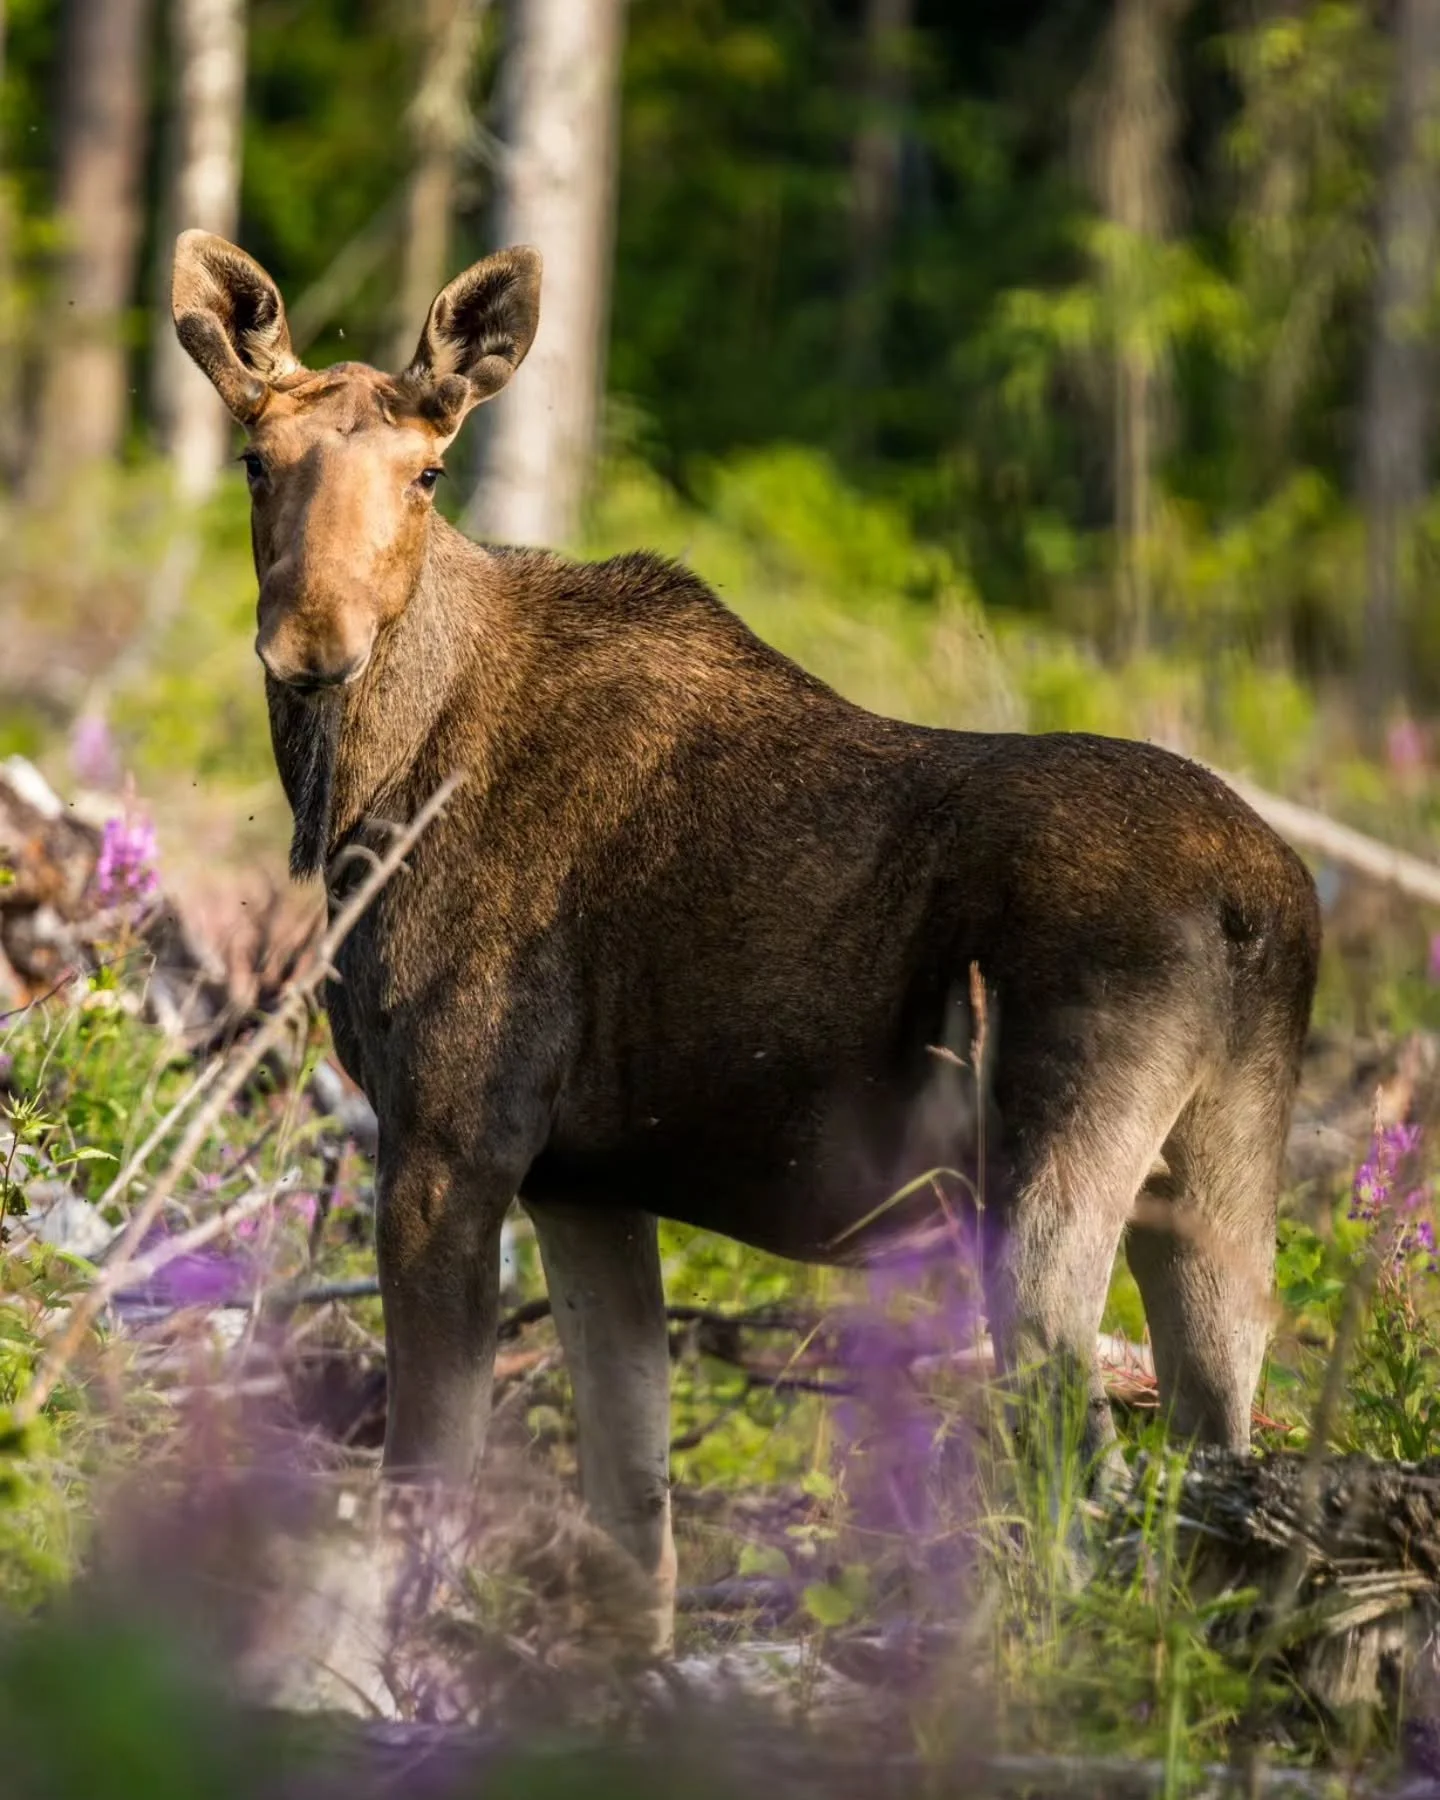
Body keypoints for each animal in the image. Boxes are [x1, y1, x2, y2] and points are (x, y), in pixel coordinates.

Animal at [171, 230, 1321, 1648]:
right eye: (255, 462)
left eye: (428, 473)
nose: (312, 643)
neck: (368, 788)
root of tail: (1262, 912)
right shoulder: (586, 1179)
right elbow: (635, 1515)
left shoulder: (451, 1138)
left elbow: (425, 1478)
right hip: (1218, 1188)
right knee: (1228, 1475)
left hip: (1045, 1183)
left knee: (1084, 1478)